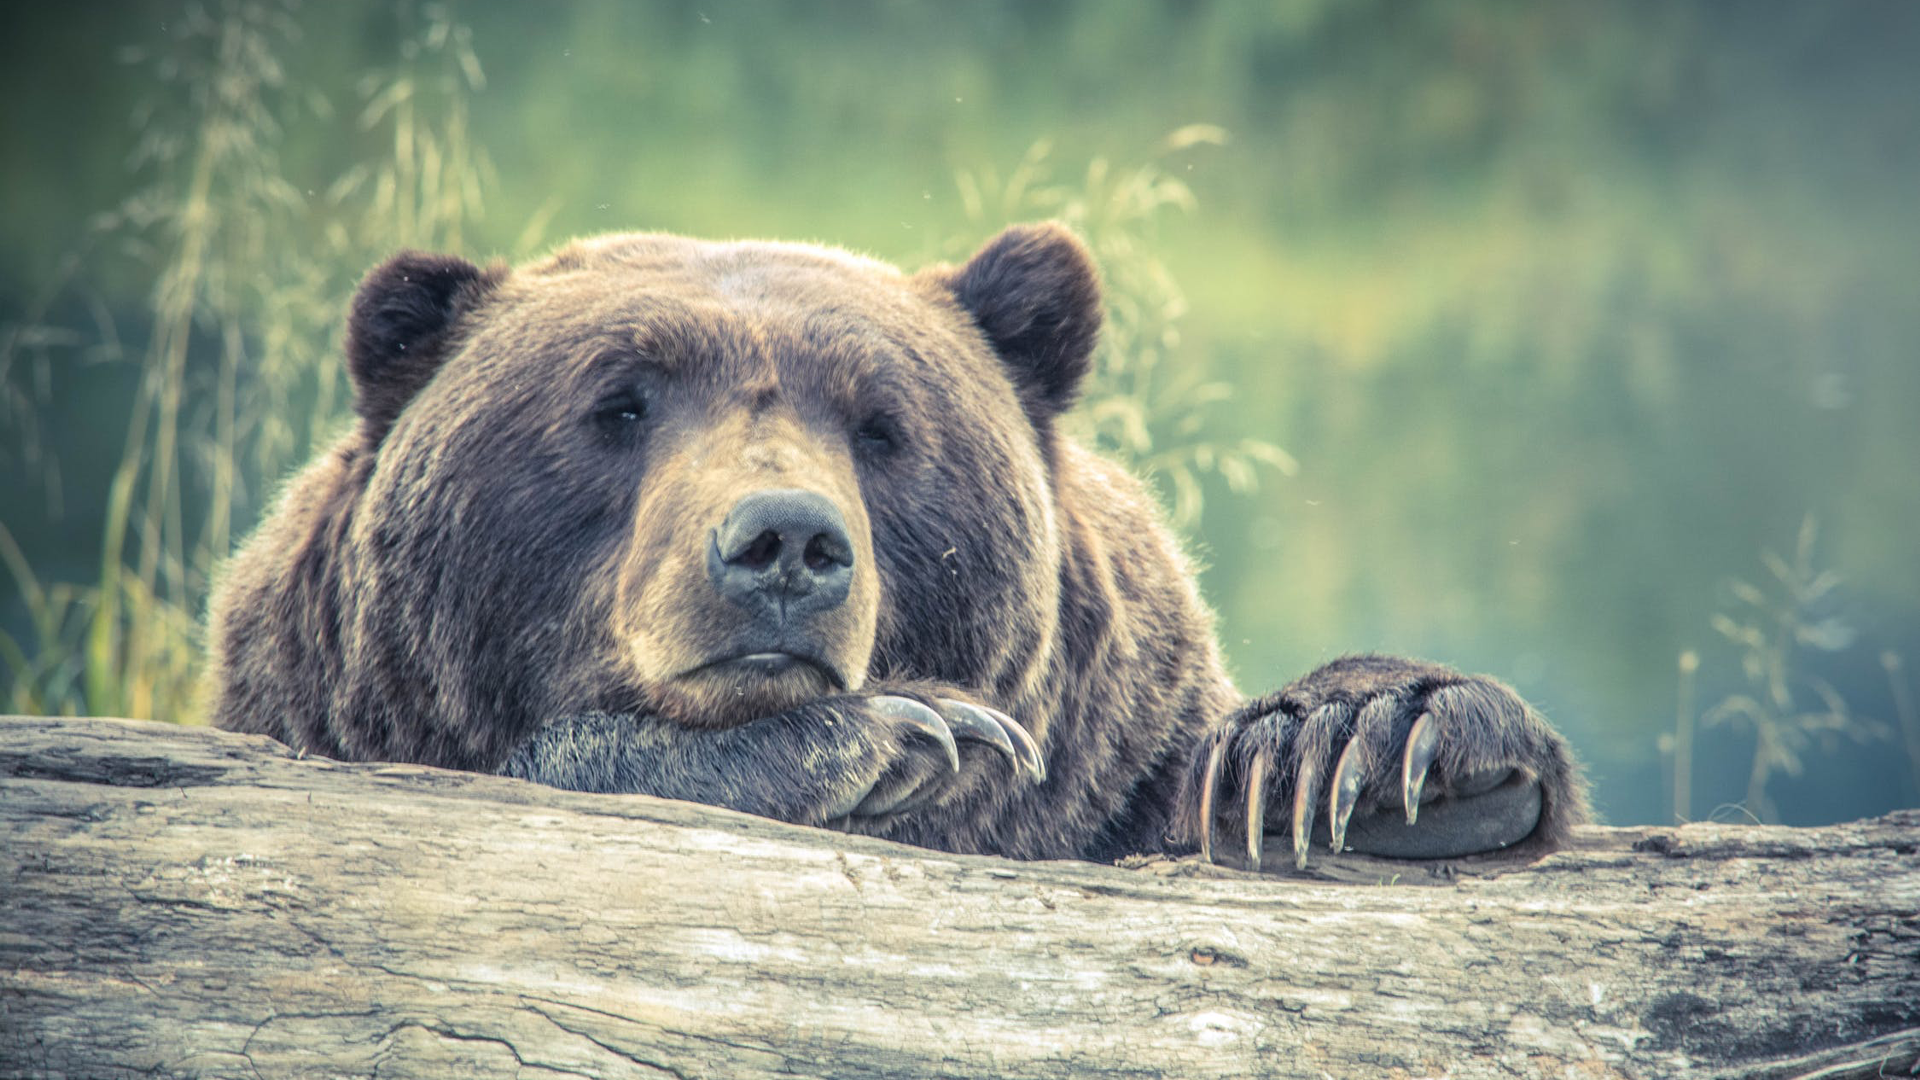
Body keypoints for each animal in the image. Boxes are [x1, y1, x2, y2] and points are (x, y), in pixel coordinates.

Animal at [206, 222, 1586, 869]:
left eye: (881, 425)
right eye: (618, 404)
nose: (784, 543)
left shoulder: (1111, 764)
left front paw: (1360, 748)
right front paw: (898, 735)